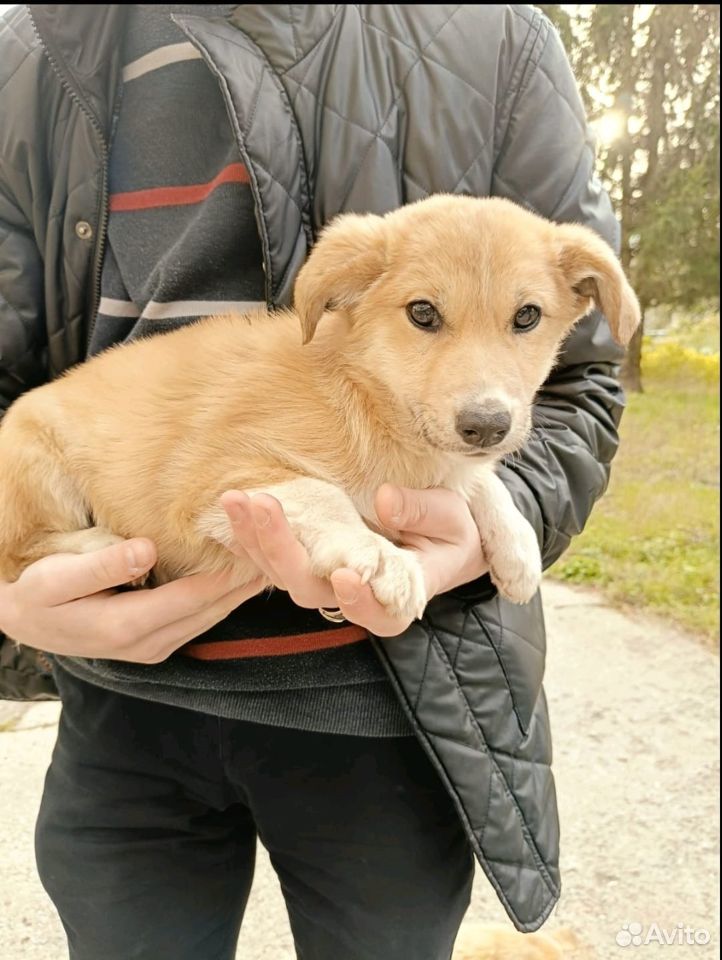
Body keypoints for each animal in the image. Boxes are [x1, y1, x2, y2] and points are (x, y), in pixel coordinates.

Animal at [0, 196, 640, 616]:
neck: (366, 399)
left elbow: (481, 481)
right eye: (423, 312)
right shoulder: (207, 478)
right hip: (34, 460)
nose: (486, 426)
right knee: (16, 554)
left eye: (527, 316)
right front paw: (376, 554)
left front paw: (516, 546)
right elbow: (320, 491)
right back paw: (104, 546)